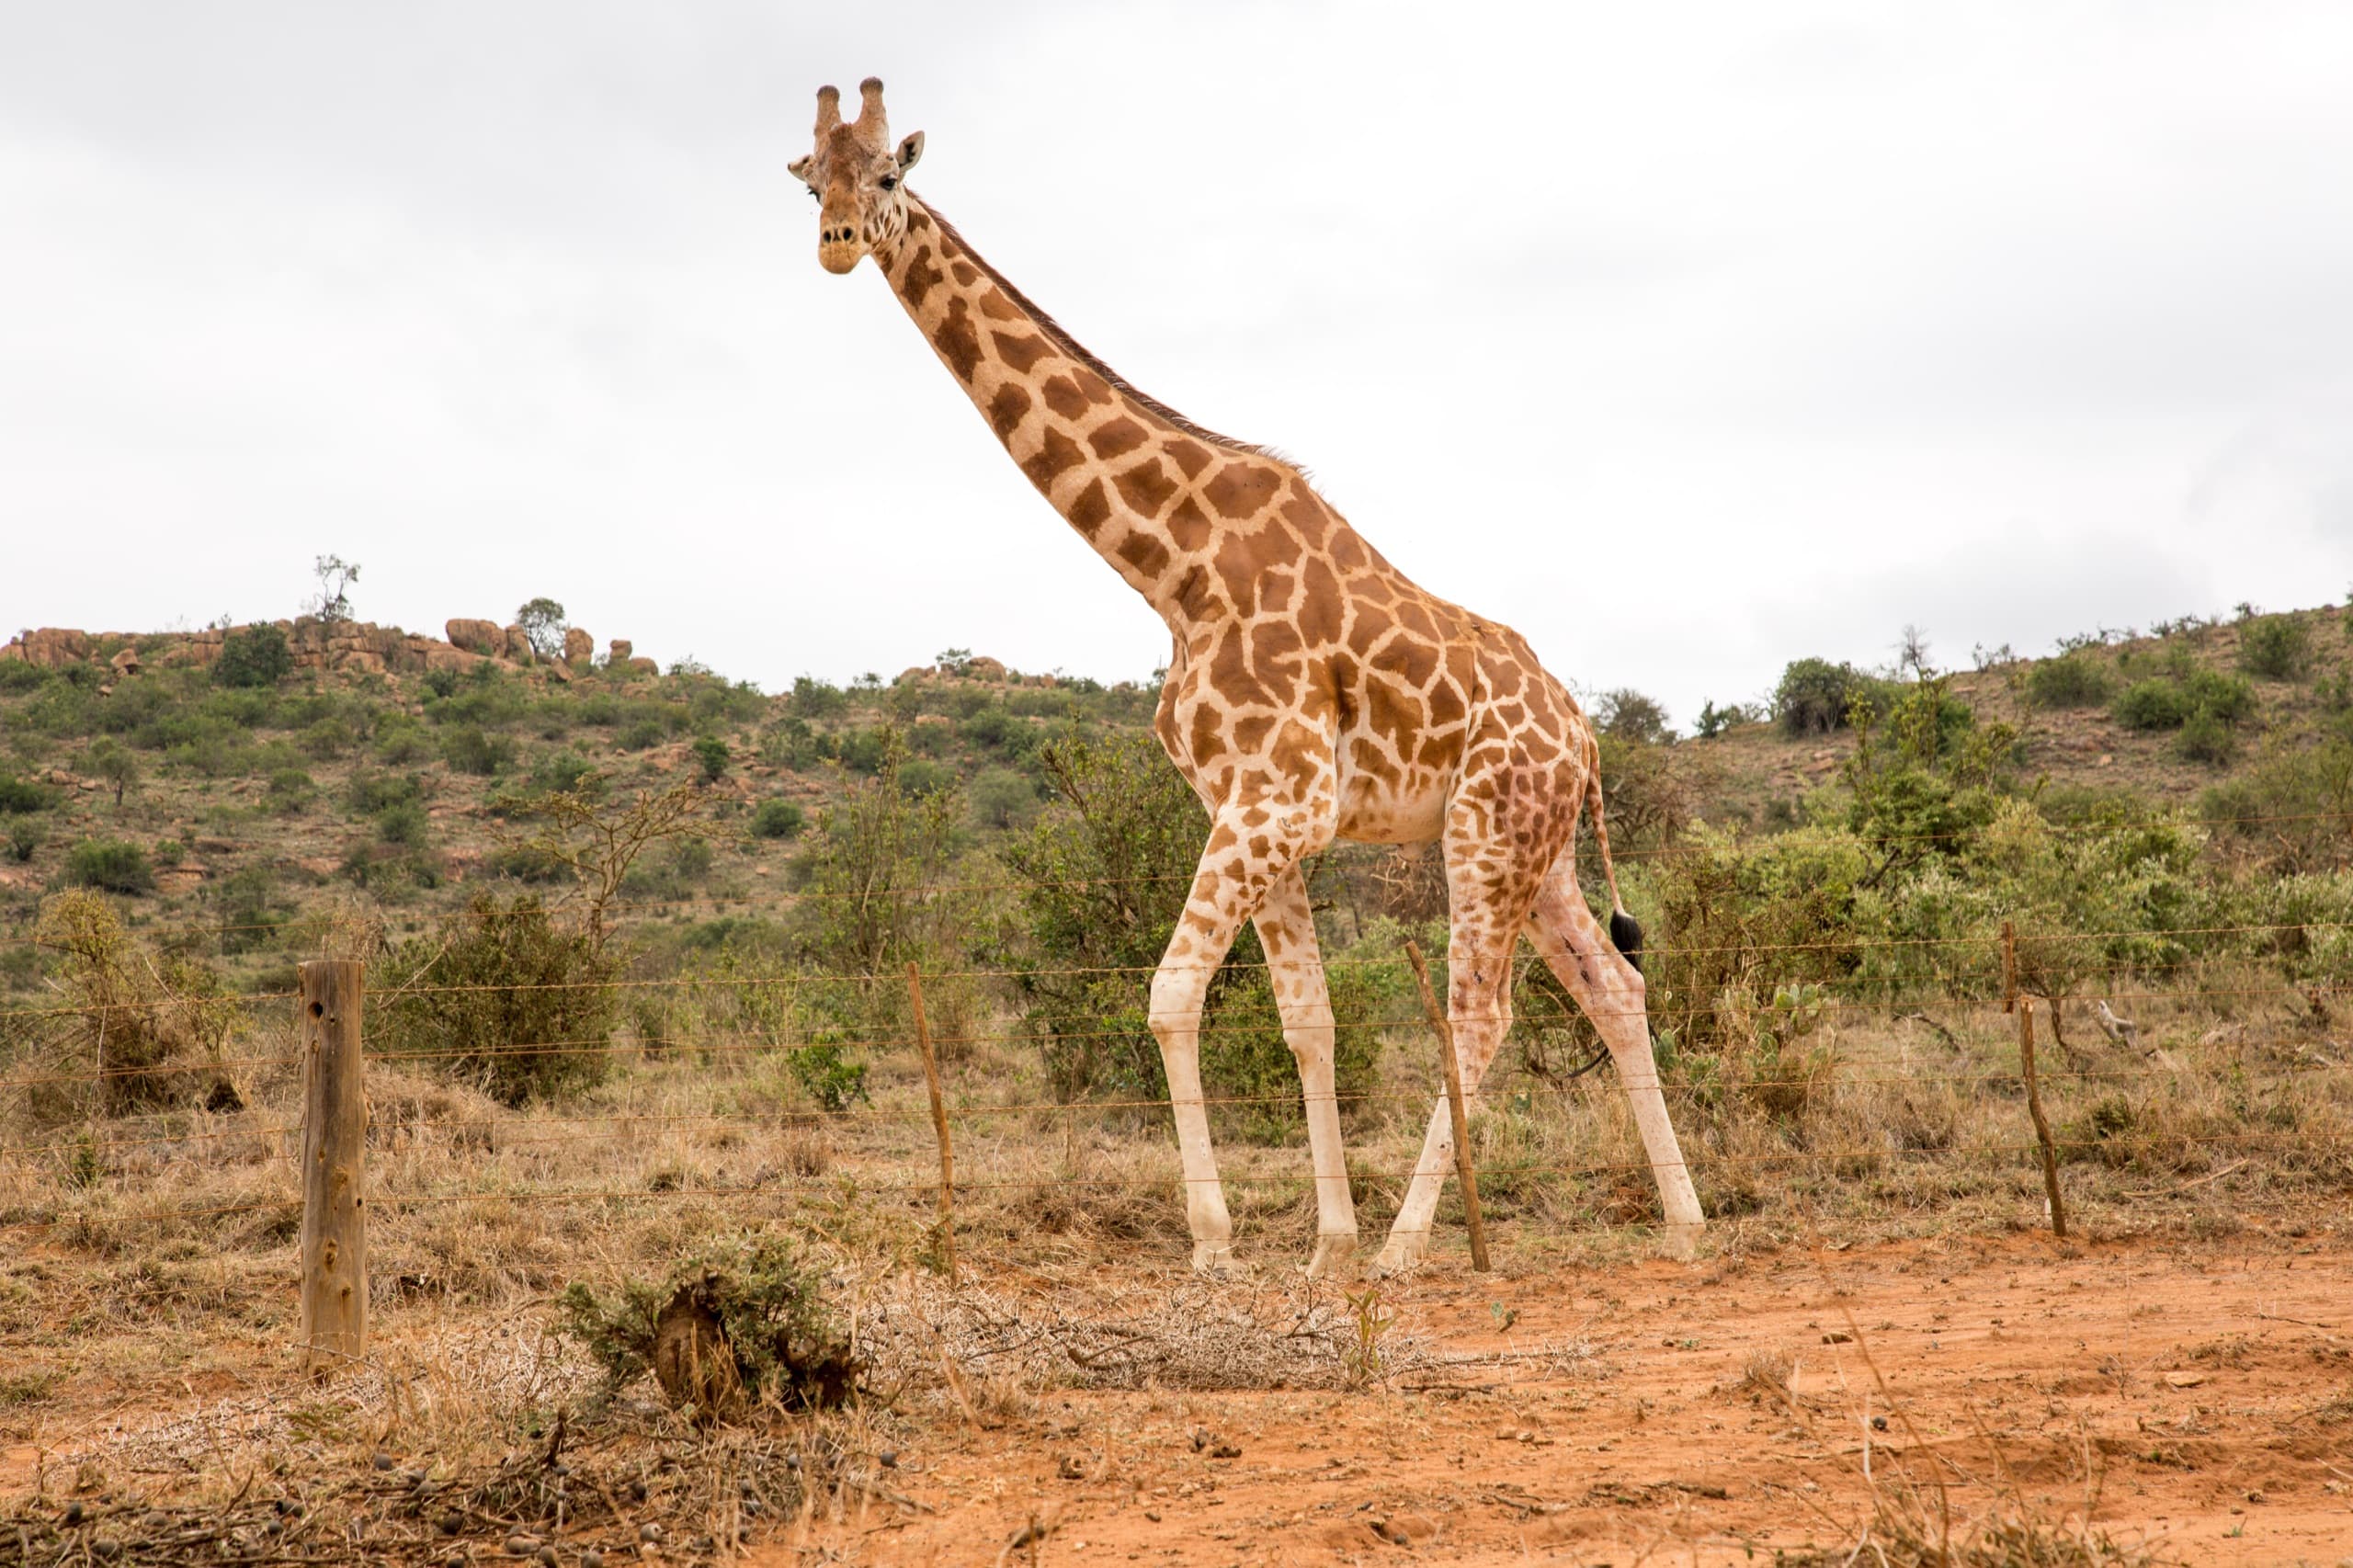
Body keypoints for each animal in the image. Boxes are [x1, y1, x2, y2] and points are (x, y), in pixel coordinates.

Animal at [791, 80, 1706, 1275]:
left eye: (888, 176)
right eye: (809, 178)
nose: (837, 243)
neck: (1172, 570)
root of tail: (1586, 738)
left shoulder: (1279, 801)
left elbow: (1171, 992)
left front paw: (1219, 1242)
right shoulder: (1248, 805)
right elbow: (1306, 1017)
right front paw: (1323, 1243)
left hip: (1487, 832)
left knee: (1479, 1012)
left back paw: (1410, 1244)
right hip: (1536, 845)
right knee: (1615, 985)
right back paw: (1684, 1222)